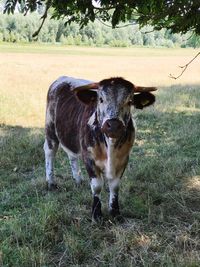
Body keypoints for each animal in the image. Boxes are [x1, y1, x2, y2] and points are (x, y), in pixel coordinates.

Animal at [43, 76, 156, 222]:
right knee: (50, 152)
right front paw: (96, 215)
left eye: (129, 101)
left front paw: (115, 212)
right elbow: (97, 186)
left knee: (71, 155)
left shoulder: (124, 159)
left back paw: (78, 180)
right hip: (50, 129)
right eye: (101, 99)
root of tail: (62, 78)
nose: (113, 125)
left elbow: (115, 185)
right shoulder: (89, 158)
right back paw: (51, 183)